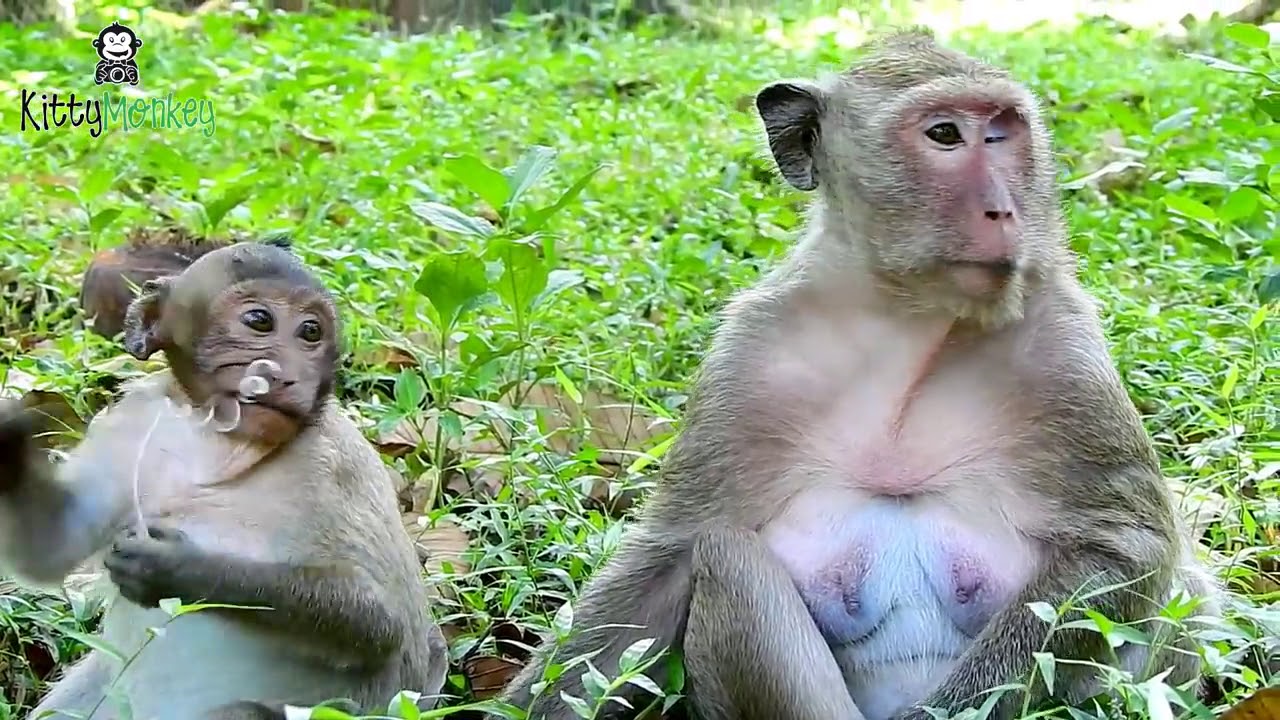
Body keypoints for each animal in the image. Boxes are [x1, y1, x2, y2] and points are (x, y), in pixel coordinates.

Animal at [0, 241, 449, 719]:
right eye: (259, 321)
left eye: (311, 331)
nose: (283, 374)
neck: (221, 440)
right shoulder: (133, 420)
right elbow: (52, 549)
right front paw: (7, 443)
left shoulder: (338, 464)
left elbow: (379, 621)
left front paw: (173, 568)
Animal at [495, 29, 1222, 720]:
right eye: (944, 135)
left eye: (1001, 130)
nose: (1003, 209)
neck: (911, 321)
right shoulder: (751, 355)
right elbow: (666, 559)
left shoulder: (1065, 350)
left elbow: (1125, 551)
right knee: (726, 555)